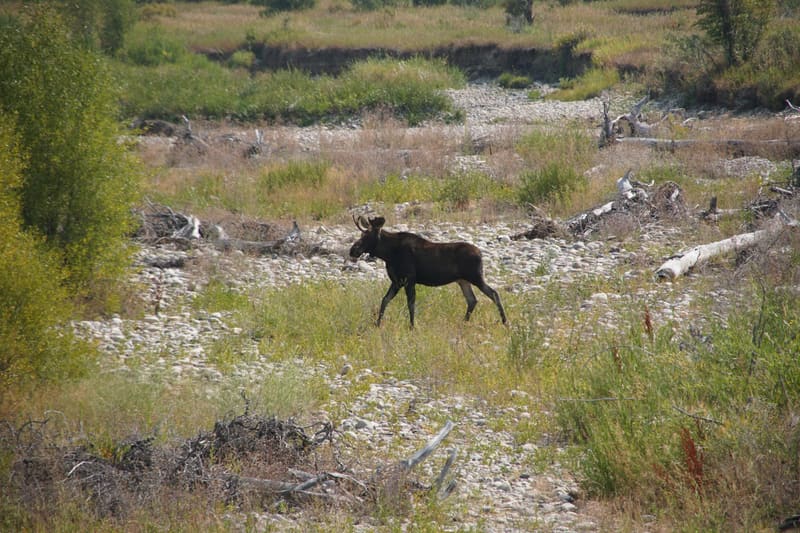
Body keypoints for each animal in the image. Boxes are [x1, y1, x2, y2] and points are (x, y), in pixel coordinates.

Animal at [349, 215, 507, 327]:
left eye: (367, 236)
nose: (353, 250)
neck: (388, 254)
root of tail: (480, 253)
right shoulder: (397, 281)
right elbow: (385, 300)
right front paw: (377, 324)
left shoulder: (409, 279)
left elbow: (410, 304)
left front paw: (412, 326)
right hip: (462, 280)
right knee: (472, 300)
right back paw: (465, 322)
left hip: (475, 276)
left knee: (493, 293)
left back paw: (505, 322)